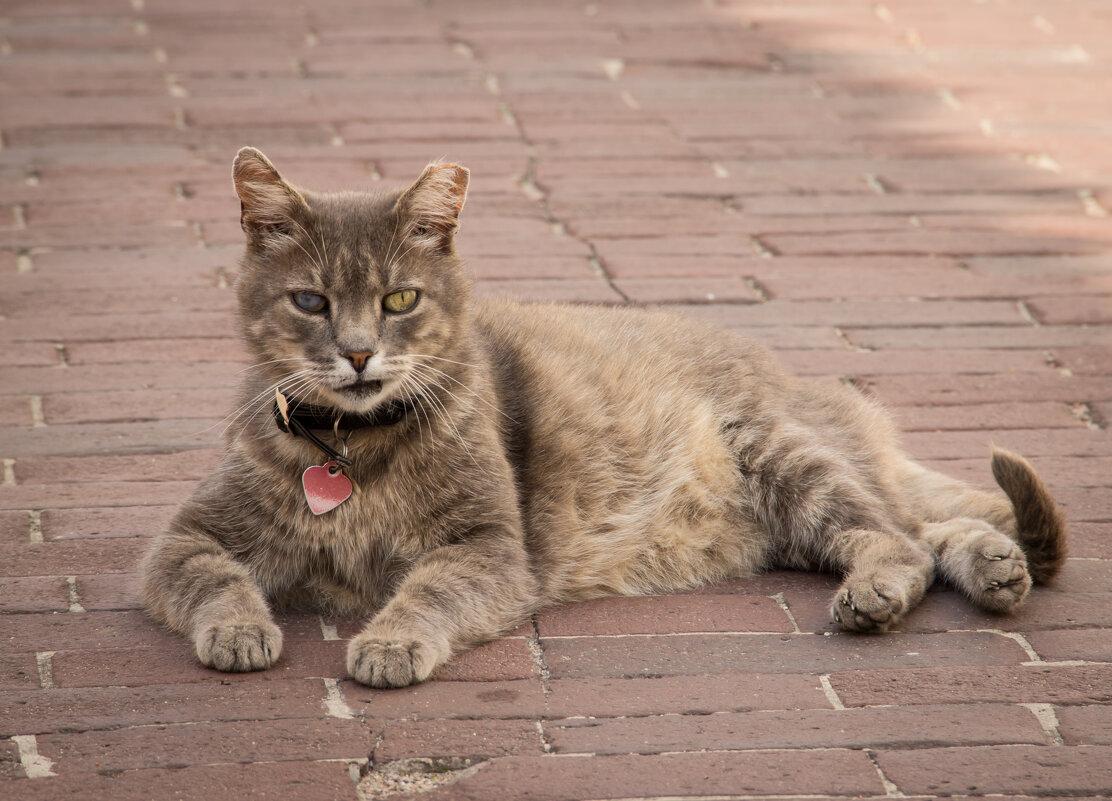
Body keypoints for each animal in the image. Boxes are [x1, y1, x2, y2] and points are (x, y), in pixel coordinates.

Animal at [141, 146, 1067, 685]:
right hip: (797, 517)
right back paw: (997, 567)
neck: (350, 450)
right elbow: (213, 577)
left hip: (784, 458)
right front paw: (240, 630)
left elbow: (427, 590)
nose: (361, 354)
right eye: (311, 301)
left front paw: (389, 640)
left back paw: (890, 589)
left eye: (400, 299)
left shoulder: (489, 550)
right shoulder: (182, 537)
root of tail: (798, 380)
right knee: (927, 529)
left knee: (900, 538)